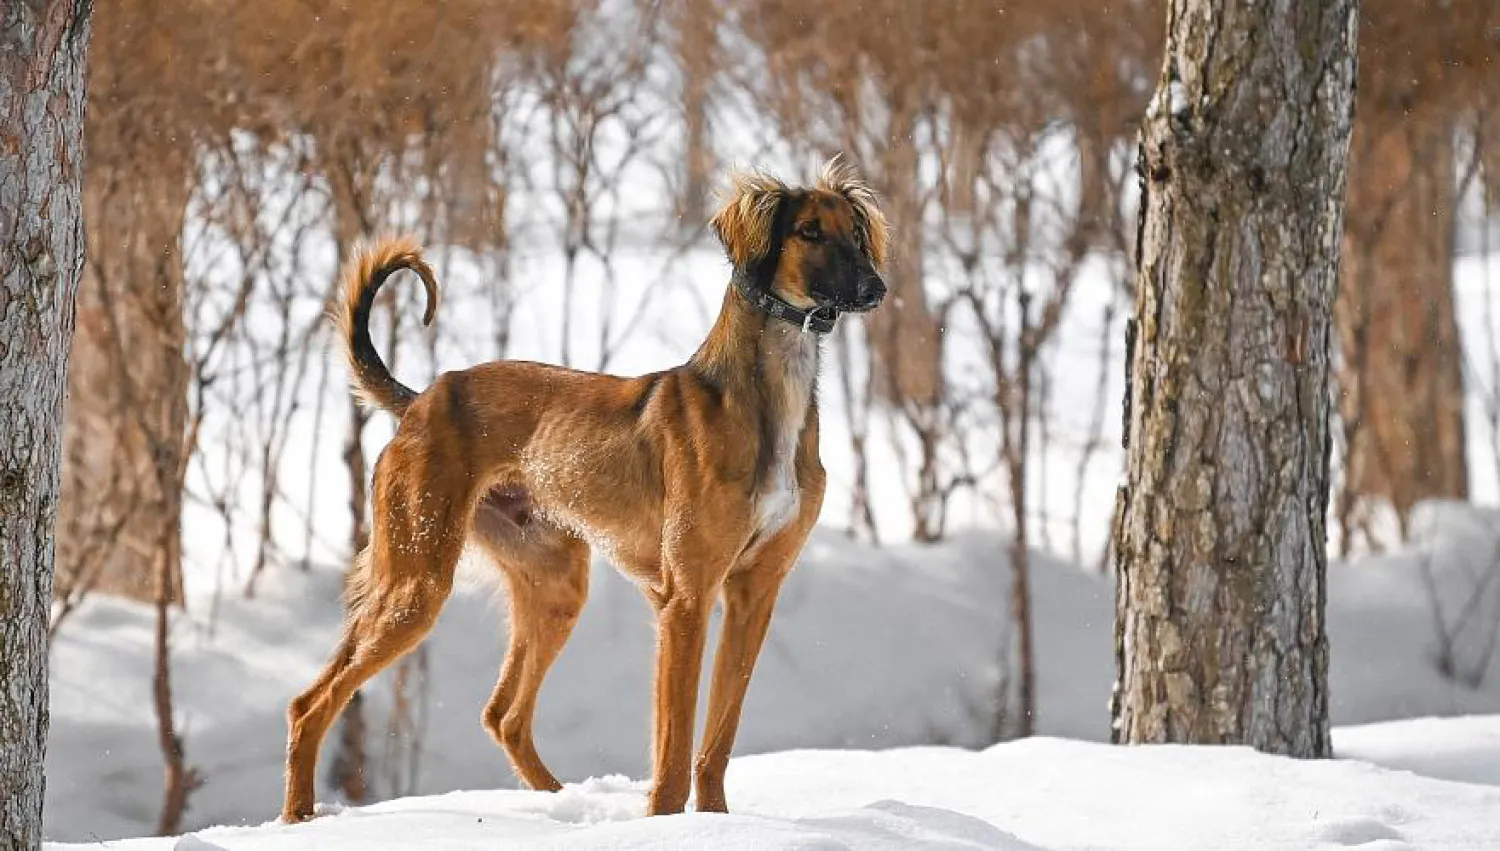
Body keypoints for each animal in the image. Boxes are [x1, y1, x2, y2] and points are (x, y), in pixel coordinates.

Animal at [283, 161, 876, 828]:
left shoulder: (754, 594)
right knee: (311, 704)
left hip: (553, 583)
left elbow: (717, 739)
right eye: (809, 231)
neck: (767, 397)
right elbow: (674, 749)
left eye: (856, 232)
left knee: (504, 716)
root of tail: (421, 401)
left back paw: (558, 803)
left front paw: (717, 824)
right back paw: (297, 818)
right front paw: (666, 827)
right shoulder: (687, 599)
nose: (876, 288)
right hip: (417, 580)